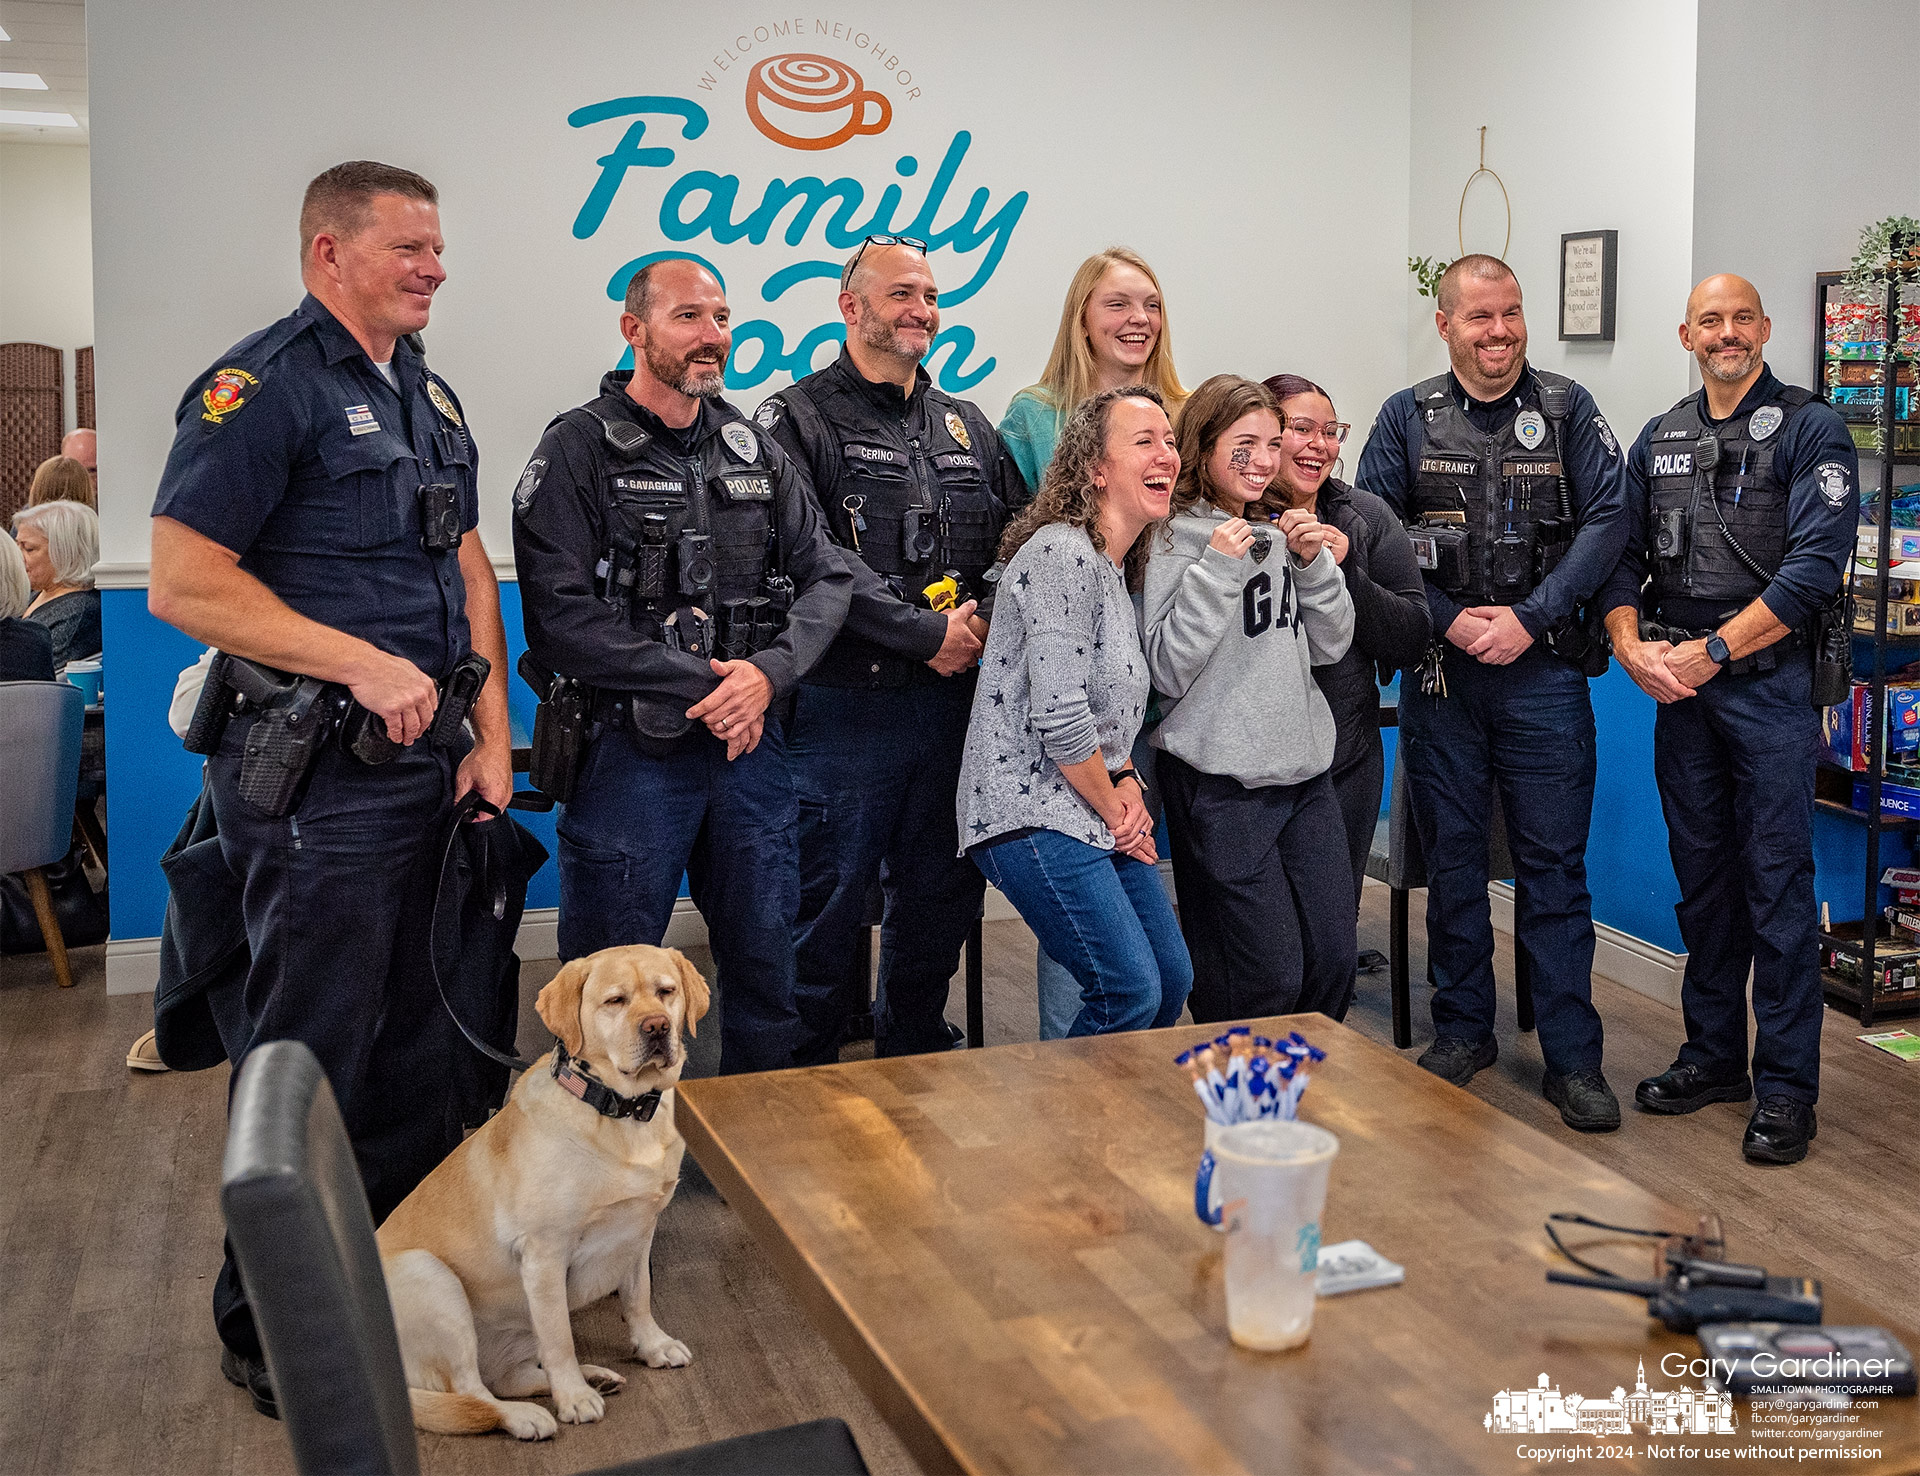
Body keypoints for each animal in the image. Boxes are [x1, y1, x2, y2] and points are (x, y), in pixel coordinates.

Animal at [374, 944, 706, 1443]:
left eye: (666, 992)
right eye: (615, 1001)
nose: (657, 1027)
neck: (620, 1113)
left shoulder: (638, 1230)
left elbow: (638, 1298)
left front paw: (653, 1346)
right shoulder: (545, 1255)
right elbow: (559, 1338)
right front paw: (573, 1398)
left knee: (507, 1379)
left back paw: (594, 1377)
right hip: (430, 1276)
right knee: (473, 1392)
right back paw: (529, 1414)